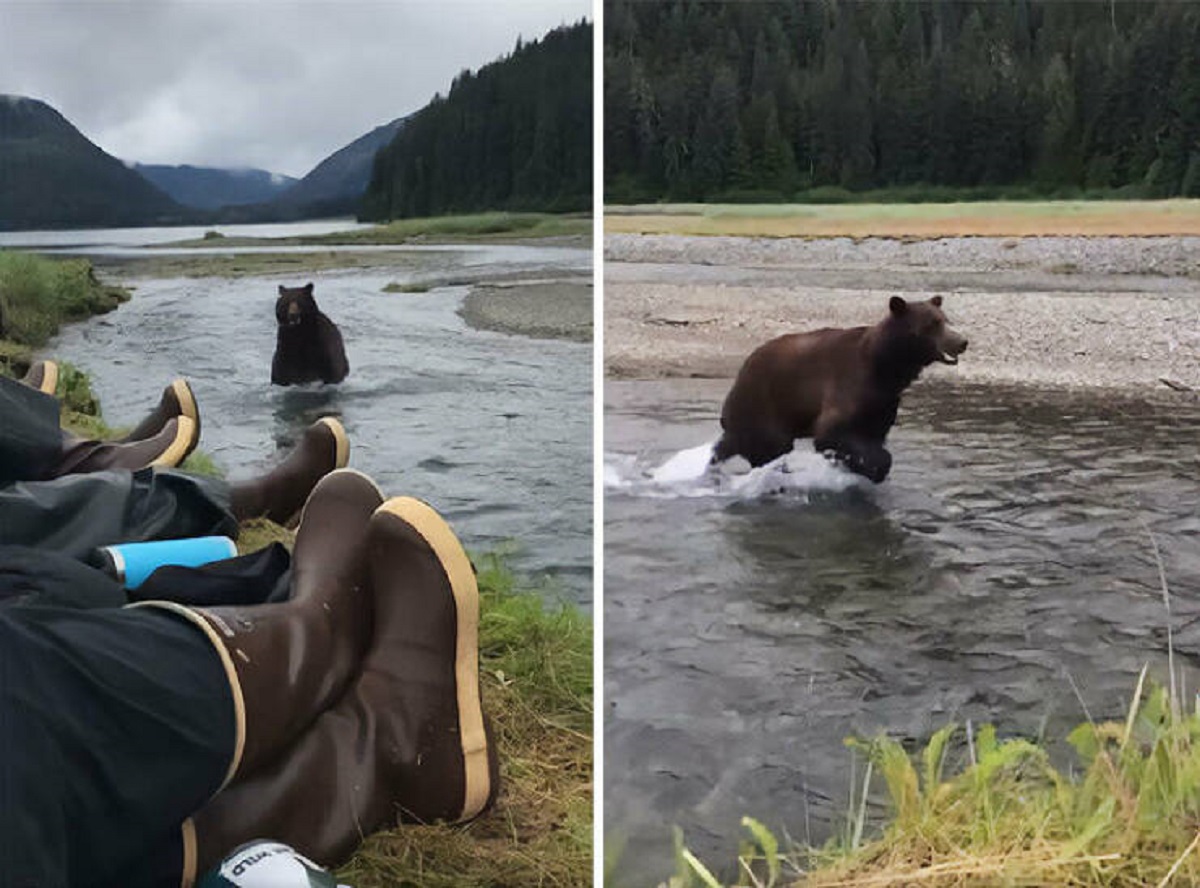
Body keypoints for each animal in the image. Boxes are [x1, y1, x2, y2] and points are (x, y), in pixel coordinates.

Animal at [710, 295, 964, 482]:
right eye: (931, 324)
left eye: (946, 319)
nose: (962, 342)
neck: (884, 366)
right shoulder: (849, 384)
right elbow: (831, 432)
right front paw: (870, 465)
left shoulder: (882, 402)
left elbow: (872, 432)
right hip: (763, 407)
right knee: (768, 448)